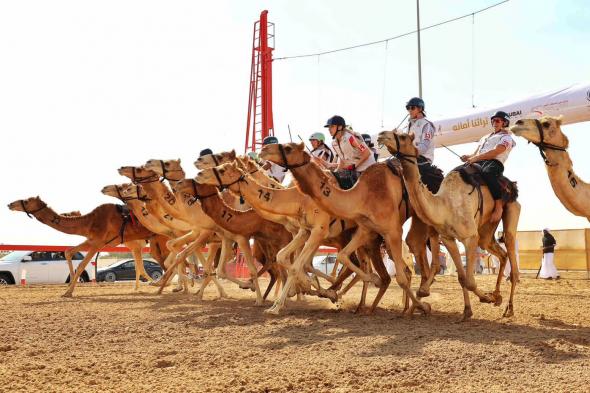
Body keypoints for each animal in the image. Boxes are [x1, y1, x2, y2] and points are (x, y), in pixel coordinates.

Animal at [8, 195, 157, 294]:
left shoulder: (98, 243)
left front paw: (68, 292)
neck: (89, 222)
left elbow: (81, 265)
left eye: (26, 201)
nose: (10, 204)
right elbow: (68, 252)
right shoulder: (91, 240)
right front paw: (69, 285)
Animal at [260, 142, 440, 314]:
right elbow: (339, 256)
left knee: (421, 245)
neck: (361, 196)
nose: (263, 150)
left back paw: (420, 293)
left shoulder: (392, 230)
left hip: (422, 215)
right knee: (412, 248)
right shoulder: (365, 229)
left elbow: (400, 277)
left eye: (288, 148)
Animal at [380, 130, 524, 320]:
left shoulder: (470, 237)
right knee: (501, 253)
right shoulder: (448, 238)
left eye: (402, 136)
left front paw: (485, 298)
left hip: (511, 210)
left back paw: (509, 307)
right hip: (486, 230)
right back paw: (497, 296)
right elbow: (462, 278)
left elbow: (469, 281)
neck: (445, 205)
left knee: (510, 248)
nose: (381, 135)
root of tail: (512, 185)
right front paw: (468, 311)